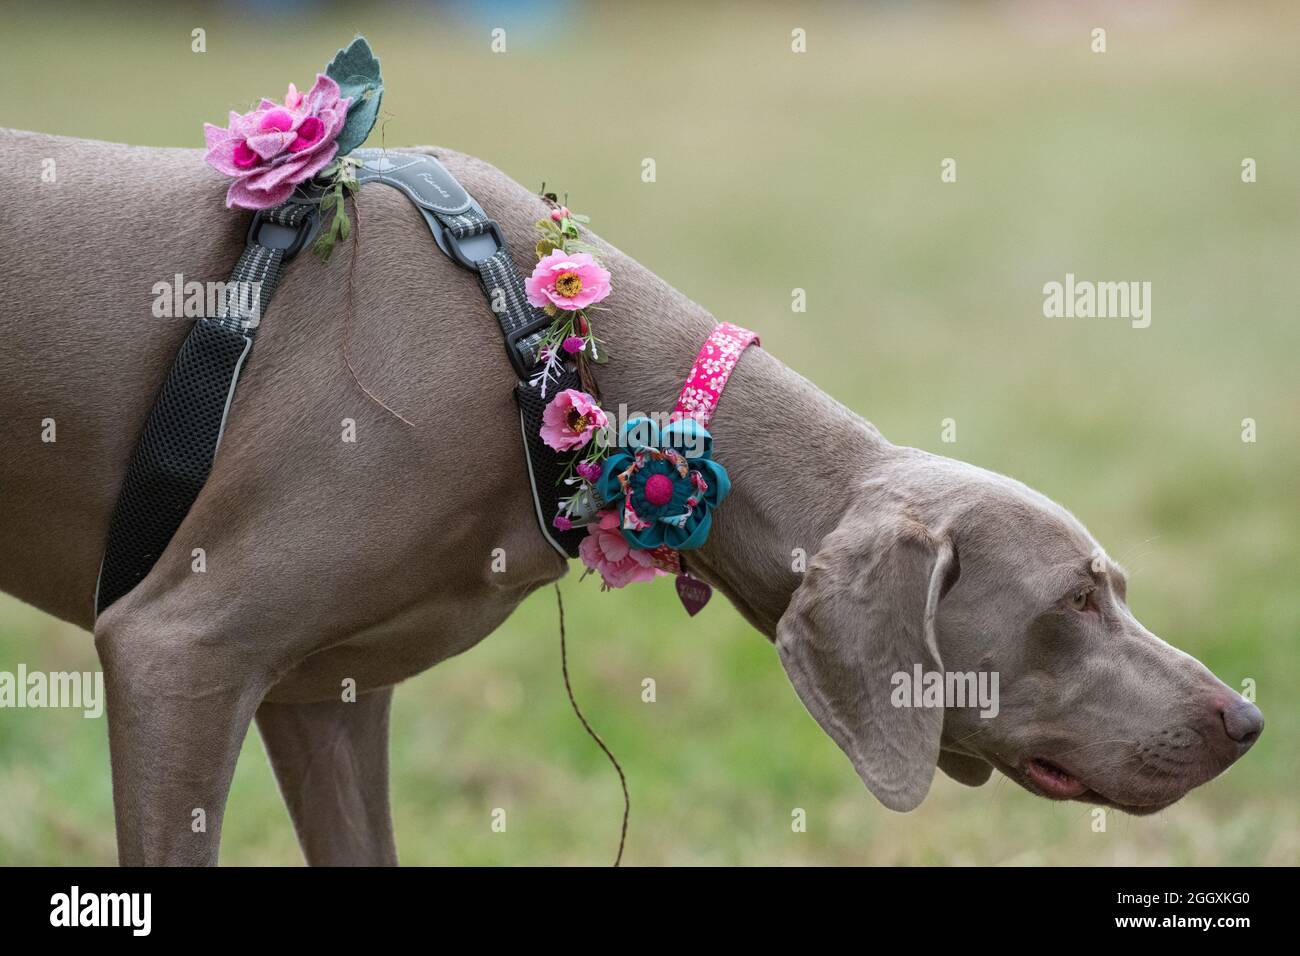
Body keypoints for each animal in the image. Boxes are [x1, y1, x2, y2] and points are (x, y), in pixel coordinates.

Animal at [0, 128, 1258, 868]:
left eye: (1114, 585)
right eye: (1073, 600)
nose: (1244, 720)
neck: (537, 331)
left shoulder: (324, 693)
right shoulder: (181, 647)